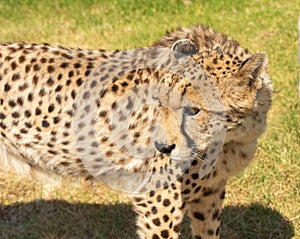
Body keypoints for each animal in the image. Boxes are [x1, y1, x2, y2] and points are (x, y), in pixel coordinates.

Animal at [0, 26, 272, 239]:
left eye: (194, 110)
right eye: (160, 102)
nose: (161, 147)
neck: (231, 138)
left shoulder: (210, 191)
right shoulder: (157, 199)